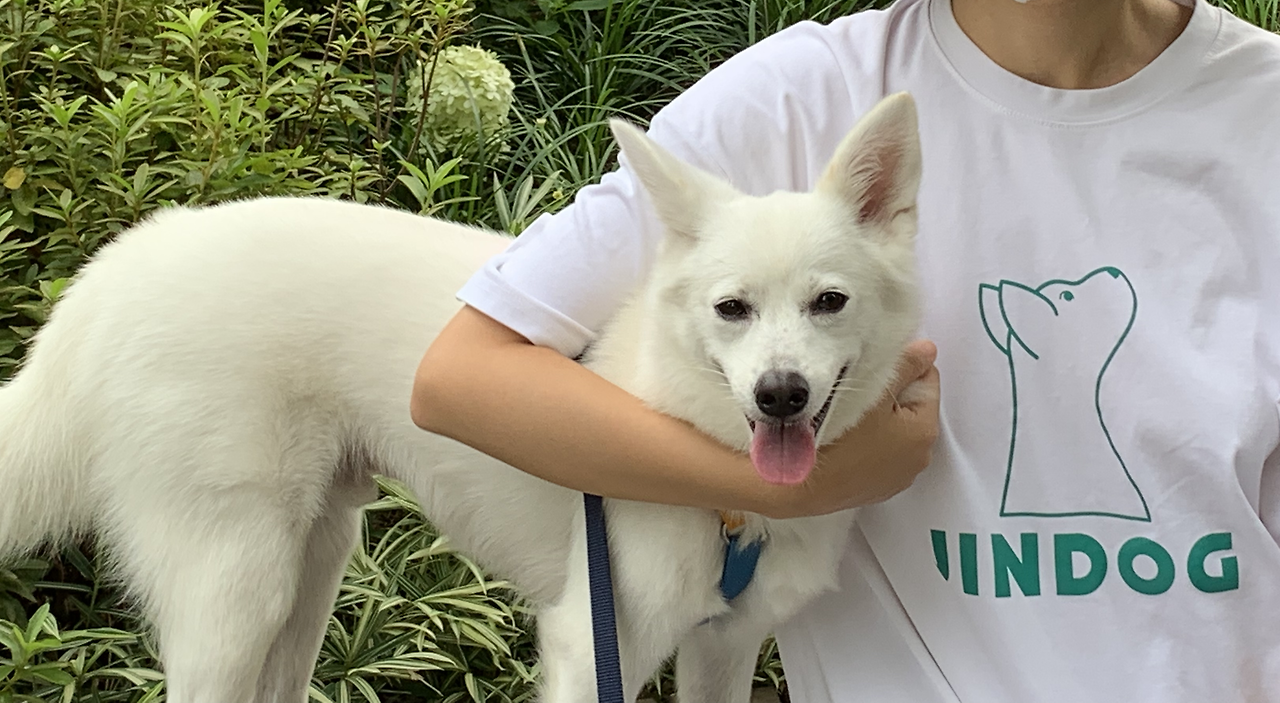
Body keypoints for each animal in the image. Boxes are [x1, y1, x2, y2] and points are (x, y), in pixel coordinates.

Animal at [0, 92, 921, 702]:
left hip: (311, 569)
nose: (779, 395)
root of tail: (129, 256)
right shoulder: (591, 646)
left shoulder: (723, 652)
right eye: (732, 308)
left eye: (828, 301)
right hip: (235, 593)